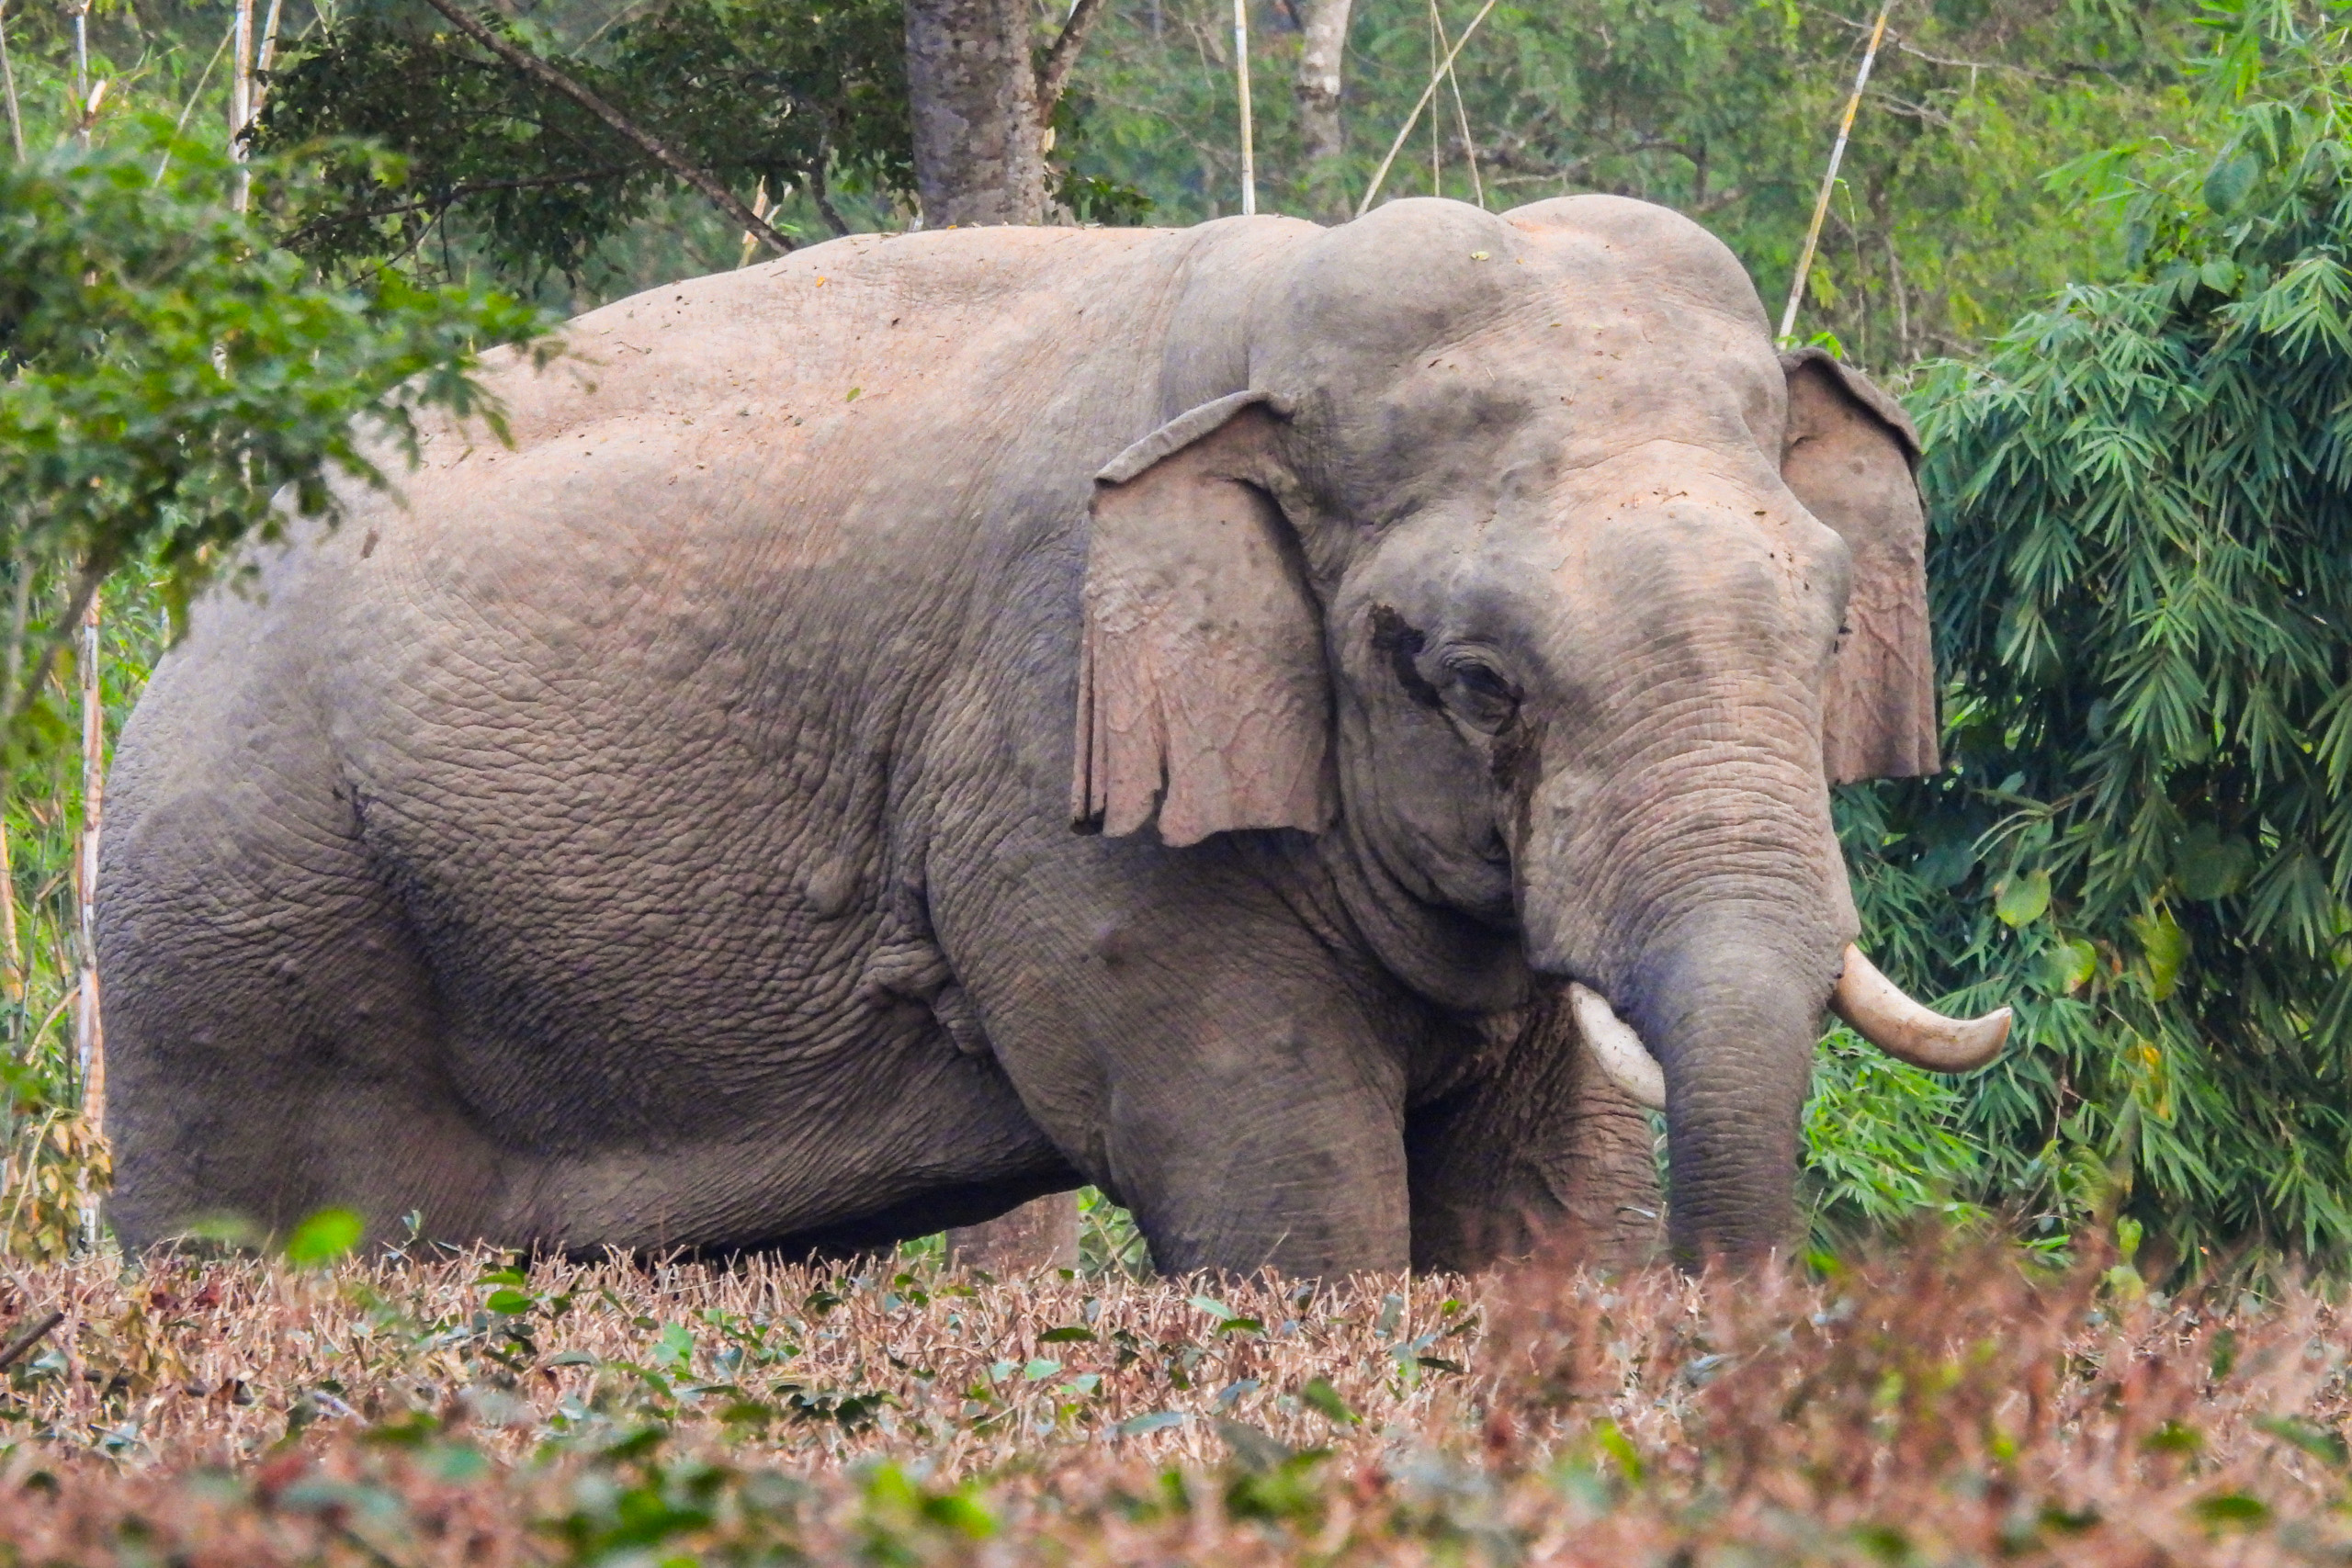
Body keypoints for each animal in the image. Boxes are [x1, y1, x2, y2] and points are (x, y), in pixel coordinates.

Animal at [91, 196, 2004, 1279]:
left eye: (1829, 620)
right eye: (1470, 679)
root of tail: (176, 633)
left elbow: (1541, 1199)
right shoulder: (1059, 782)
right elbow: (1277, 1188)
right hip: (251, 936)